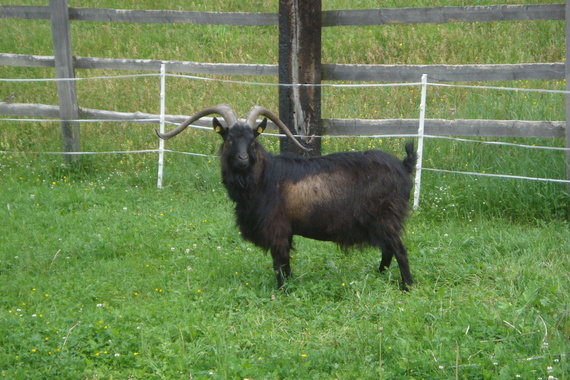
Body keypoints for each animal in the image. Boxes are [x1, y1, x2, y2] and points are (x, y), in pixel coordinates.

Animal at [158, 105, 414, 290]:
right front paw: (289, 286)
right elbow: (286, 263)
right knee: (388, 250)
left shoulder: (276, 228)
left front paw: (281, 291)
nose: (242, 159)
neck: (264, 179)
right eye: (229, 139)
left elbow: (278, 262)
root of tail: (404, 166)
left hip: (386, 217)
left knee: (399, 250)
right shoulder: (286, 230)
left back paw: (407, 287)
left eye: (252, 139)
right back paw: (379, 275)